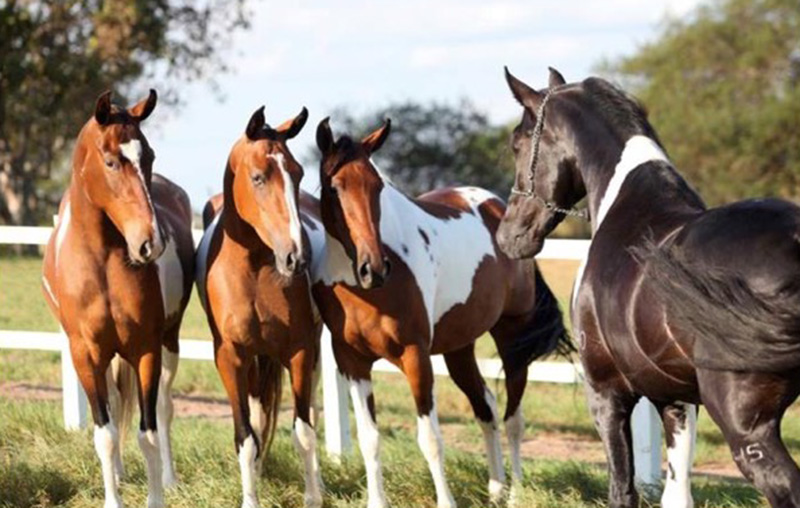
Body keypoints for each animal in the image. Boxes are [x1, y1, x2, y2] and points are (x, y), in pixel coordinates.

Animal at [41, 91, 195, 508]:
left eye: (150, 156)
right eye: (111, 161)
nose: (150, 242)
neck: (101, 261)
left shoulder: (146, 350)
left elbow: (149, 432)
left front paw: (156, 498)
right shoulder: (86, 354)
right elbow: (106, 433)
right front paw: (114, 497)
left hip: (169, 341)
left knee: (164, 407)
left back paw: (170, 478)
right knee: (112, 404)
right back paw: (122, 475)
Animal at [195, 106, 324, 508]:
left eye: (298, 173)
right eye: (258, 177)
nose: (297, 257)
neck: (253, 268)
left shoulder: (300, 350)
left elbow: (304, 432)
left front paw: (312, 497)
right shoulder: (230, 356)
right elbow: (246, 437)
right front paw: (251, 496)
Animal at [304, 117, 568, 506]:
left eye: (377, 185)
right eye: (335, 187)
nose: (374, 268)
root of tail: (498, 208)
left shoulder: (416, 357)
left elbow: (430, 440)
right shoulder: (352, 362)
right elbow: (370, 439)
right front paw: (376, 501)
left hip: (511, 338)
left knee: (513, 419)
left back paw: (516, 493)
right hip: (459, 348)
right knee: (486, 407)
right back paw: (495, 488)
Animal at [496, 67, 800, 508]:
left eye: (517, 144)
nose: (509, 237)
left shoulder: (607, 395)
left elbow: (622, 490)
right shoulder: (675, 400)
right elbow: (677, 494)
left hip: (747, 429)